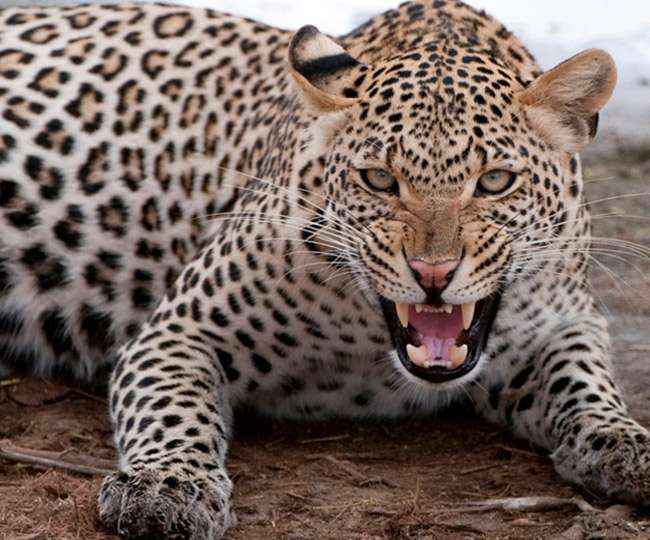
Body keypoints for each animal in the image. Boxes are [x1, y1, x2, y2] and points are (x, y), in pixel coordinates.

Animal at [0, 1, 647, 538]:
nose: (432, 272)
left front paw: (625, 442)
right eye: (380, 179)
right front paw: (166, 488)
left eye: (495, 182)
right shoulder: (178, 331)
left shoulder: (566, 321)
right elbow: (172, 411)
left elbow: (586, 382)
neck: (369, 349)